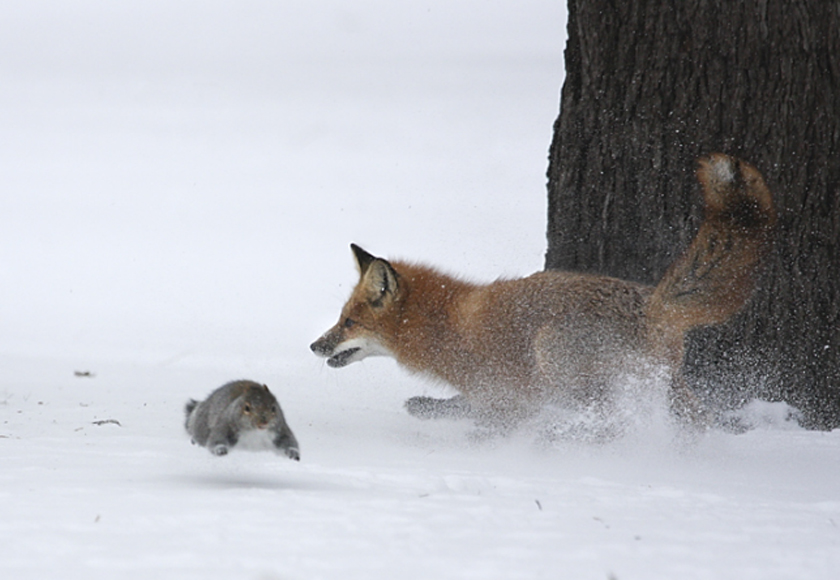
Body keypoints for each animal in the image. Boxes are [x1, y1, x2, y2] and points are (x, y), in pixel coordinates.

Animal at [310, 154, 776, 433]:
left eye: (349, 322)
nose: (314, 346)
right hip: (664, 385)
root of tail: (653, 304)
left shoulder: (508, 397)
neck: (443, 326)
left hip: (552, 349)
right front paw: (429, 407)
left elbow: (489, 423)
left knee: (609, 418)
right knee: (693, 421)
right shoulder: (499, 396)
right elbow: (459, 406)